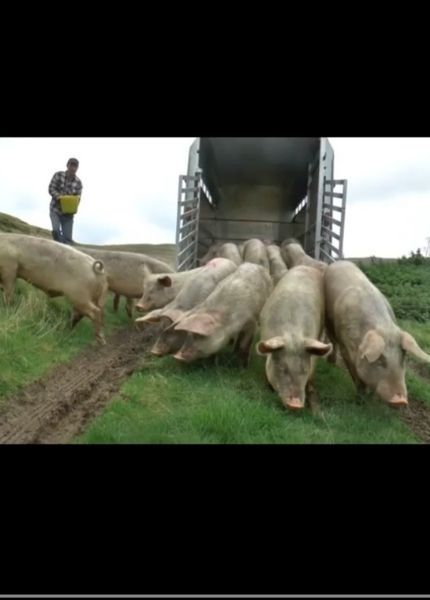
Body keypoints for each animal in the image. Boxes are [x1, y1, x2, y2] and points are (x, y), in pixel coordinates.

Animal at [326, 262, 430, 408]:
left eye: (403, 358)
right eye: (380, 360)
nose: (401, 400)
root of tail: (339, 262)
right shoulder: (345, 348)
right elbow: (355, 374)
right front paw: (361, 399)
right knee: (332, 341)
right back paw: (331, 363)